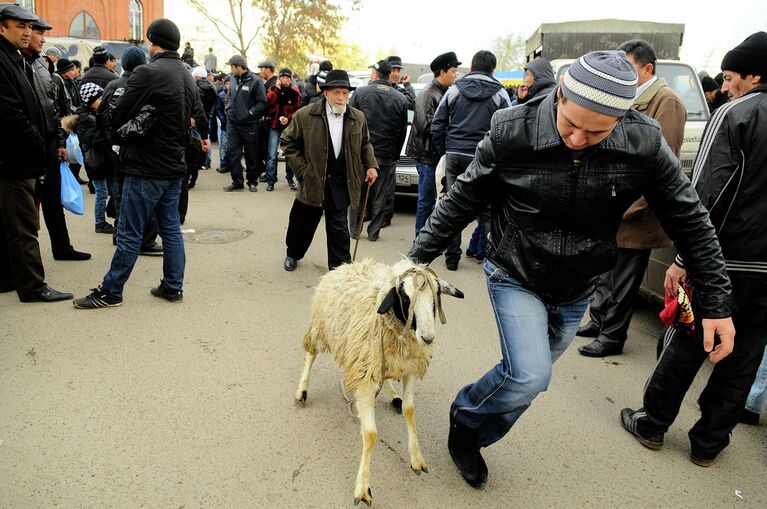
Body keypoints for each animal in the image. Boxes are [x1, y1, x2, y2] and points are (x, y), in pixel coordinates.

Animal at [294, 258, 462, 504]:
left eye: (436, 296)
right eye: (405, 298)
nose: (427, 338)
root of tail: (348, 264)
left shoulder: (409, 368)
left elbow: (410, 410)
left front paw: (416, 458)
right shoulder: (365, 377)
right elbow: (371, 434)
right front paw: (363, 487)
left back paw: (393, 395)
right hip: (321, 326)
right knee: (310, 353)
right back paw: (302, 390)